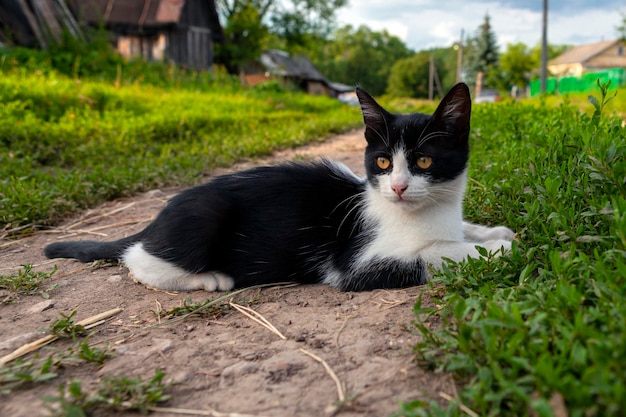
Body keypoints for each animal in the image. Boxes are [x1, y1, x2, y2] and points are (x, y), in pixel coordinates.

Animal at [42, 83, 512, 290]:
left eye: (423, 161)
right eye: (382, 161)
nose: (396, 187)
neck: (426, 213)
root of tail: (155, 220)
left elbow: (455, 234)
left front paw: (490, 231)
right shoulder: (354, 266)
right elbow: (435, 254)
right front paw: (497, 247)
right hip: (201, 219)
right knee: (137, 260)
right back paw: (209, 278)